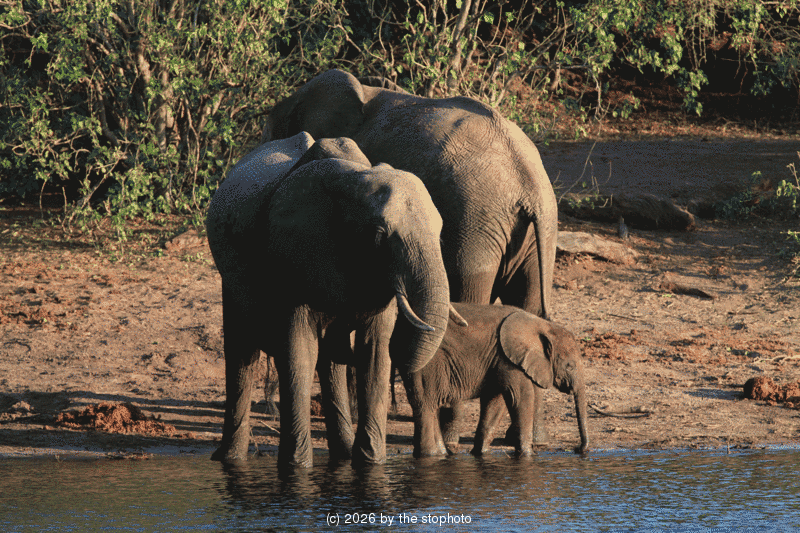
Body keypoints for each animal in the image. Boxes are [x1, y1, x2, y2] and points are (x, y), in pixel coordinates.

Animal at [206, 132, 454, 467]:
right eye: (379, 234)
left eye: (440, 233)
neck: (353, 181)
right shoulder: (292, 255)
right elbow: (299, 352)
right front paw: (297, 467)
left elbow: (374, 354)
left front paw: (371, 464)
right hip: (230, 279)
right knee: (242, 353)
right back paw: (230, 460)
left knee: (330, 360)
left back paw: (344, 456)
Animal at [262, 69, 559, 445]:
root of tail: (530, 182)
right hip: (535, 239)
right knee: (529, 306)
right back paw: (531, 439)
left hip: (476, 225)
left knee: (471, 299)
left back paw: (450, 435)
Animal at [394, 302, 589, 458]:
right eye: (570, 366)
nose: (578, 449)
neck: (542, 325)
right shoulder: (510, 358)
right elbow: (520, 397)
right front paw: (527, 456)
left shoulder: (499, 358)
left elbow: (496, 402)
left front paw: (480, 454)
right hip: (424, 361)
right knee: (426, 404)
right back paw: (430, 456)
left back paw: (442, 454)